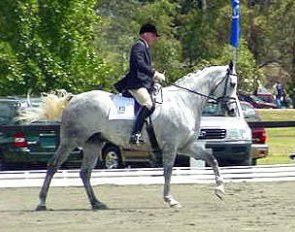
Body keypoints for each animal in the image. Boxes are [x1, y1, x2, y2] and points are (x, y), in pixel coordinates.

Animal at [33, 63, 238, 210]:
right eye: (233, 84)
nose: (232, 110)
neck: (184, 102)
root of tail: (73, 99)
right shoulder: (171, 146)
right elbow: (168, 172)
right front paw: (170, 199)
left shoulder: (186, 146)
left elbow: (212, 159)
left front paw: (220, 189)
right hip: (70, 141)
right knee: (53, 166)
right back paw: (42, 203)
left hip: (94, 143)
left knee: (85, 173)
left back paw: (97, 203)